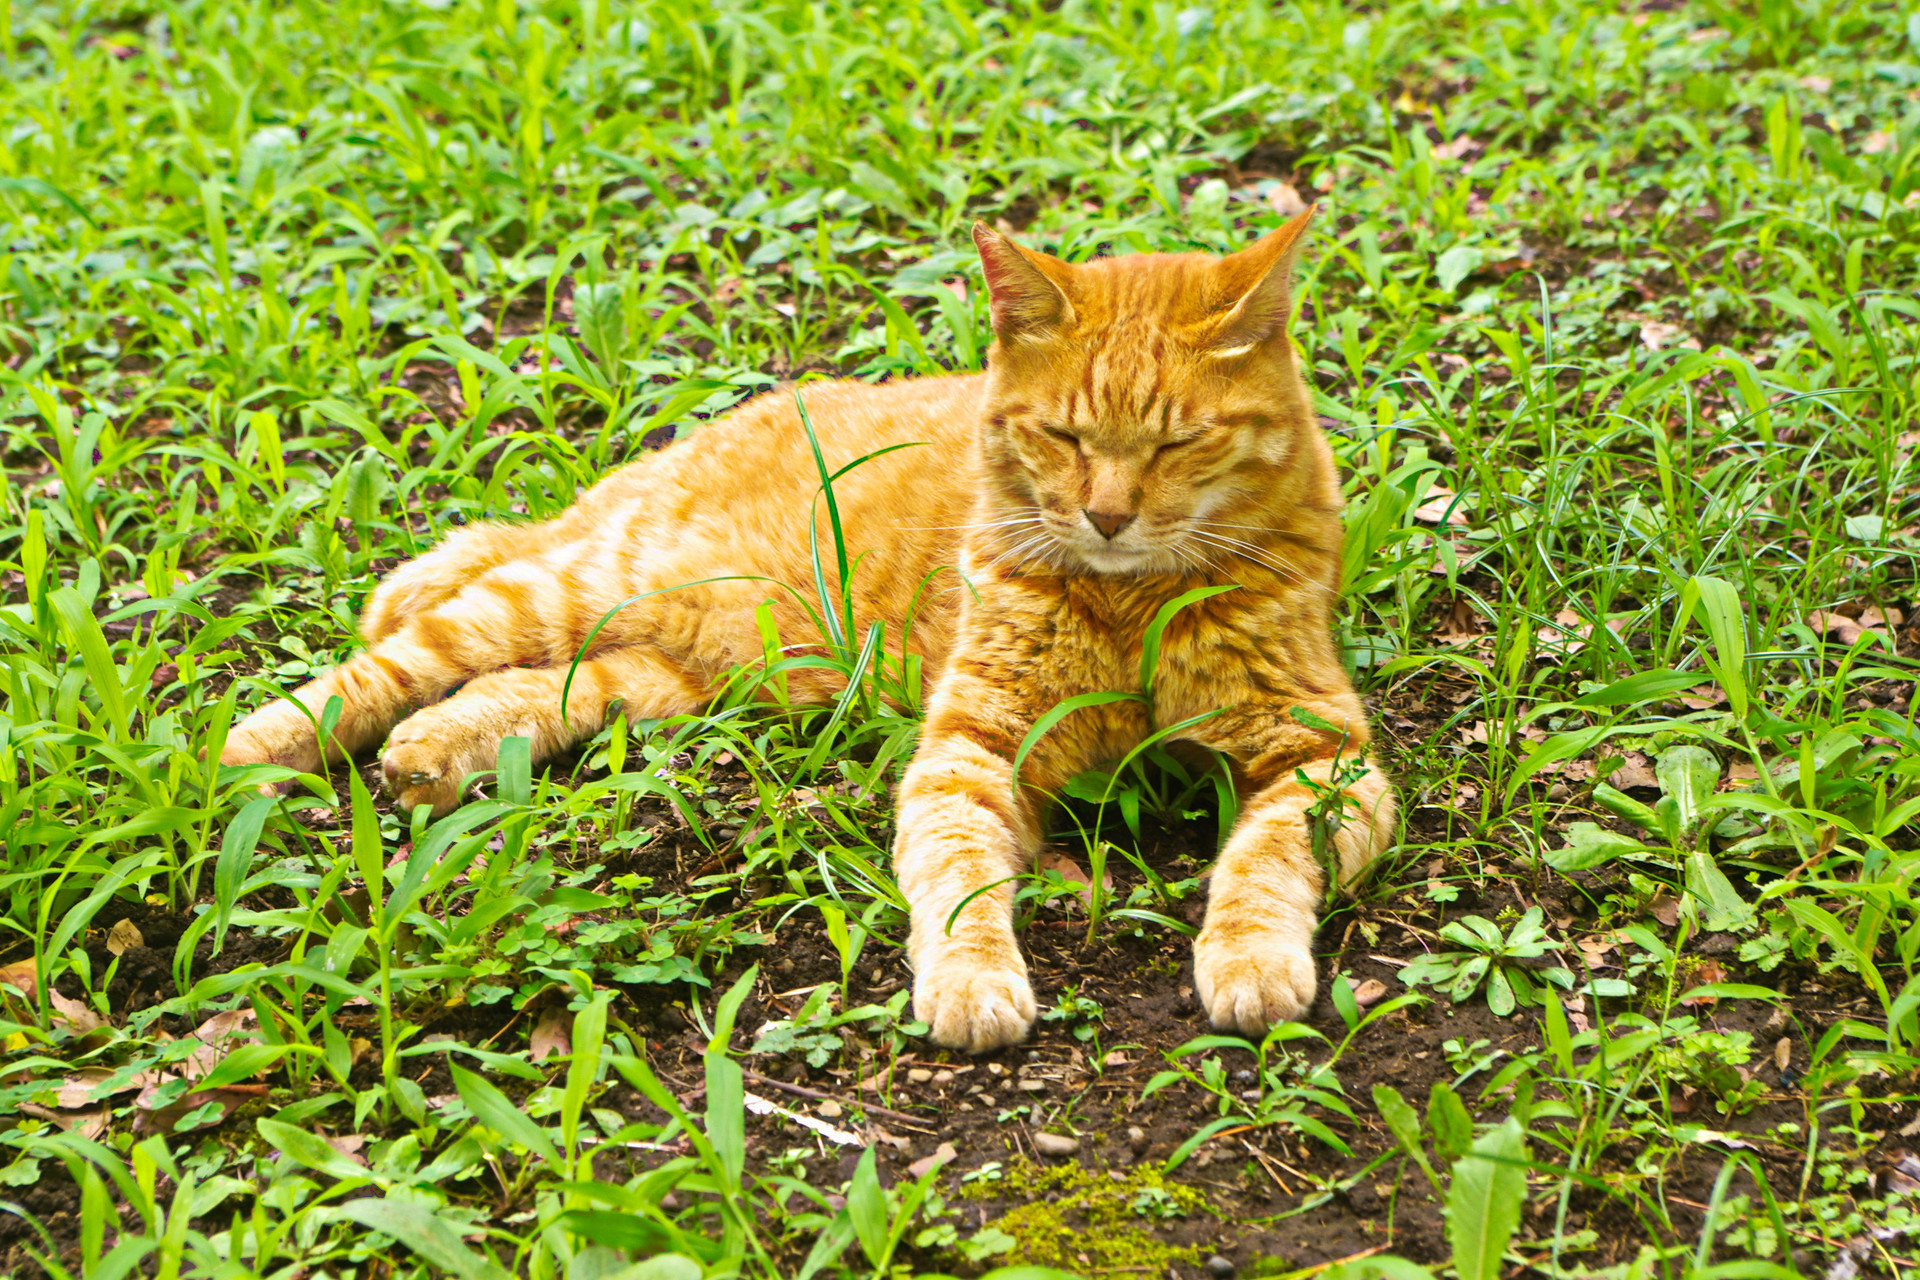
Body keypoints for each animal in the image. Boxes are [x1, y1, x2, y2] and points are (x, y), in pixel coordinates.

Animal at [220, 210, 1397, 1051]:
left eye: (1178, 444)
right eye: (1064, 437)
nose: (1107, 515)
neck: (1129, 604)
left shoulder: (1324, 757)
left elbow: (1265, 861)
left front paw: (1248, 958)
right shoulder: (968, 751)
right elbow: (960, 875)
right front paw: (973, 979)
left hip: (673, 676)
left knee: (531, 686)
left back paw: (434, 752)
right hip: (573, 586)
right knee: (402, 654)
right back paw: (260, 744)